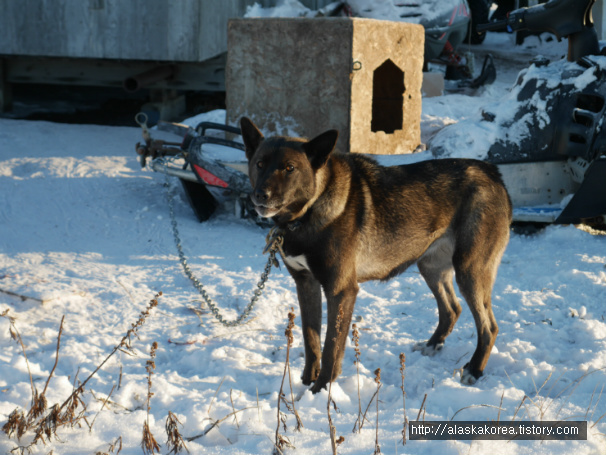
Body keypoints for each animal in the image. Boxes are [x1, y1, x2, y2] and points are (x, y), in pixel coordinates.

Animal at [240, 117, 512, 392]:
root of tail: (492, 172)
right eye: (260, 164)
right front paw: (306, 384)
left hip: (470, 270)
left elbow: (331, 348)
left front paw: (321, 390)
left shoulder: (341, 291)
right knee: (452, 309)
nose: (261, 195)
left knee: (488, 326)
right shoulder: (306, 284)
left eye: (290, 168)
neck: (308, 211)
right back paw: (432, 344)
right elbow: (311, 340)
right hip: (431, 267)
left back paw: (474, 370)